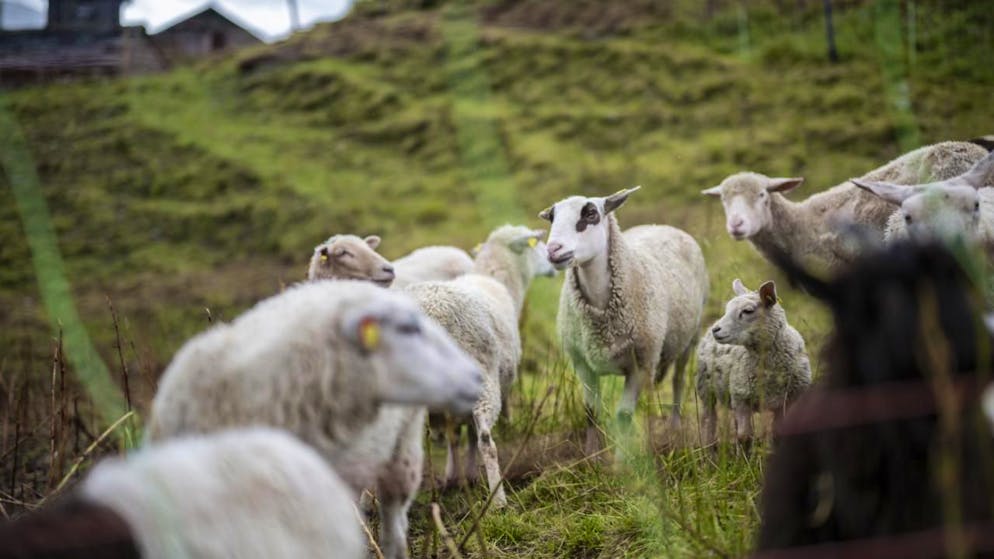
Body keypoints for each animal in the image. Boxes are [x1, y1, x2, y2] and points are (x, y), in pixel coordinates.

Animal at [405, 225, 554, 508]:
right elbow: (472, 436)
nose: (554, 261)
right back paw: (498, 501)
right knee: (486, 440)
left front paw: (453, 477)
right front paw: (468, 476)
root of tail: (430, 316)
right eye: (535, 244)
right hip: (482, 380)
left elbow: (454, 436)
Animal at [540, 186, 708, 455]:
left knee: (678, 380)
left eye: (591, 214)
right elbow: (591, 413)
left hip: (691, 337)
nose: (553, 249)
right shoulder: (582, 364)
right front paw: (591, 456)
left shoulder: (641, 363)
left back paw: (674, 426)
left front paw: (622, 459)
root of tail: (663, 226)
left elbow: (624, 417)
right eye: (552, 218)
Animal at [695, 279, 811, 447]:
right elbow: (745, 436)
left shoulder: (788, 401)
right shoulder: (741, 397)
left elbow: (779, 434)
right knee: (708, 420)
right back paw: (708, 450)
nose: (716, 330)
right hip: (706, 388)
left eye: (747, 311)